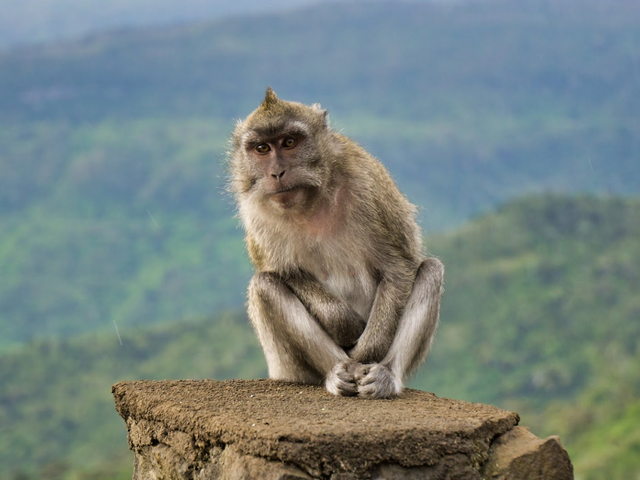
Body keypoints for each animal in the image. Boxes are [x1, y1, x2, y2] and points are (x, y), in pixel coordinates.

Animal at [230, 88, 444, 400]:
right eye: (262, 148)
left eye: (289, 142)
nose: (277, 173)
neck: (311, 200)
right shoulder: (256, 213)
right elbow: (283, 273)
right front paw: (346, 326)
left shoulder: (367, 184)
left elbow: (398, 265)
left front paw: (368, 348)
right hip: (288, 366)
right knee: (265, 286)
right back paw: (339, 372)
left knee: (430, 270)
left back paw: (384, 375)